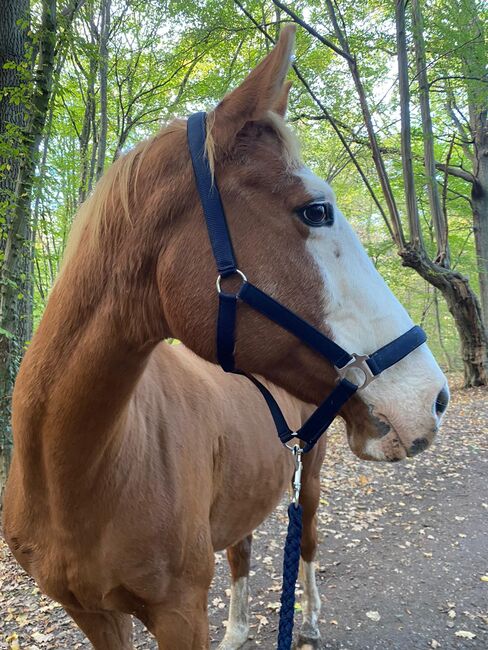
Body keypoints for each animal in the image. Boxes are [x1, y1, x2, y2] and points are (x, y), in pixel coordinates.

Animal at [1, 25, 448, 648]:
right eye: (315, 211)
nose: (434, 397)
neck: (74, 474)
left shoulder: (181, 611)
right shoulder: (94, 615)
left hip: (309, 480)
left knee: (307, 546)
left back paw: (309, 619)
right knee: (242, 547)